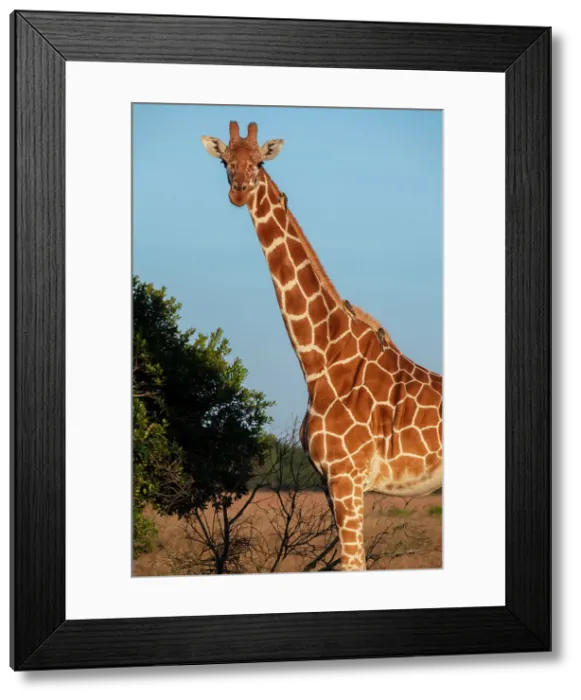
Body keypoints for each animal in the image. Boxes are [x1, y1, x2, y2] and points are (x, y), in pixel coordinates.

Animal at [201, 121, 443, 572]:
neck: (322, 359)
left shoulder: (348, 478)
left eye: (260, 162)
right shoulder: (331, 482)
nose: (239, 191)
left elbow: (354, 564)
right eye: (225, 161)